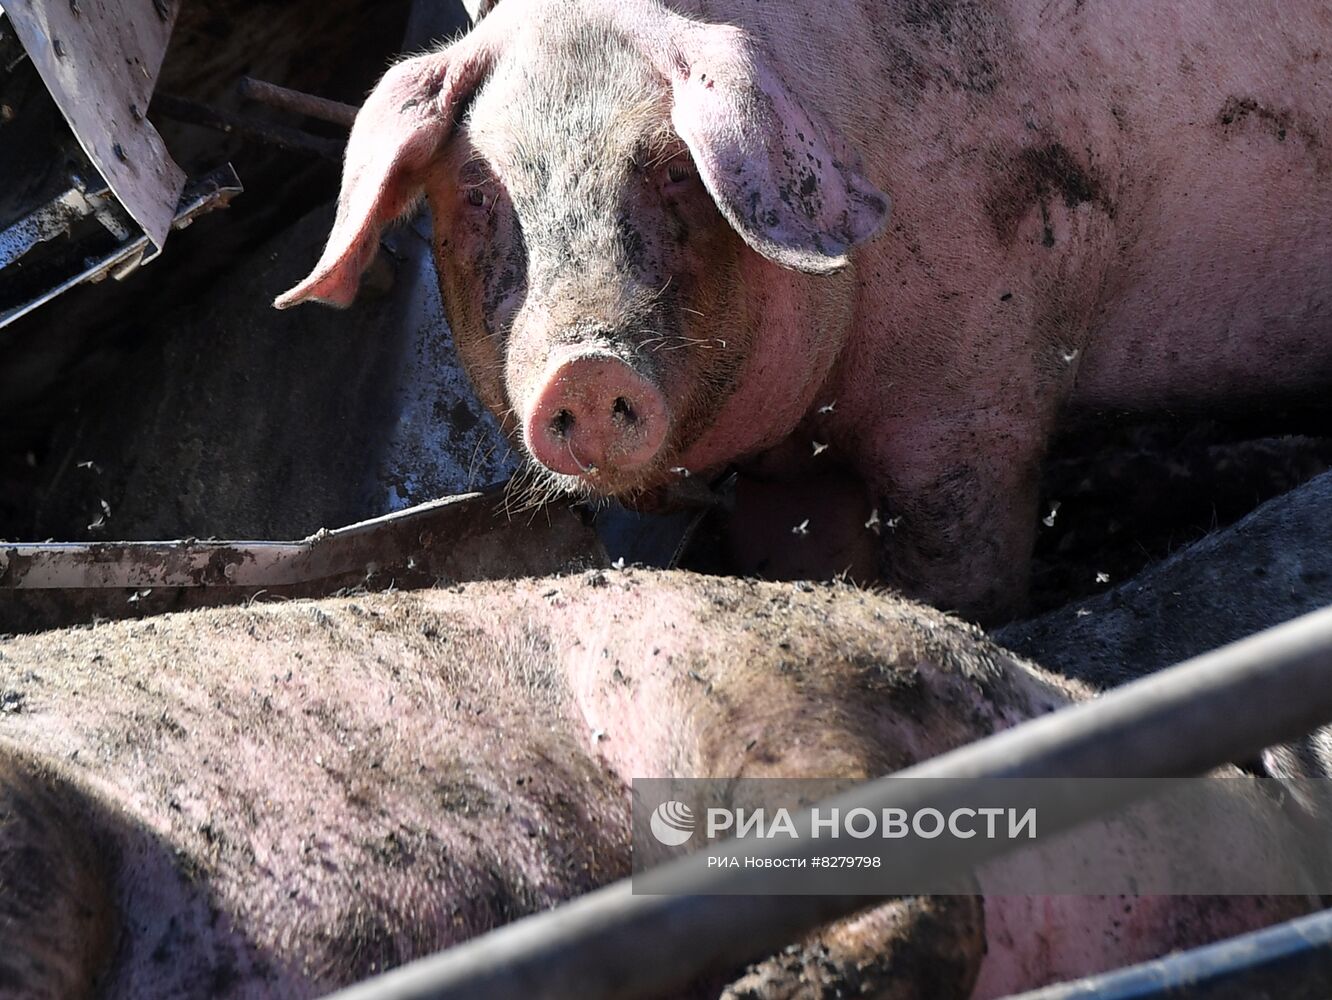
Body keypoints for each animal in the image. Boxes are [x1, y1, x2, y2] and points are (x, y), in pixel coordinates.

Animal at [275, 0, 1332, 623]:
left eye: (672, 169)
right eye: (479, 194)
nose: (584, 366)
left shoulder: (983, 394)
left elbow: (961, 561)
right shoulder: (794, 475)